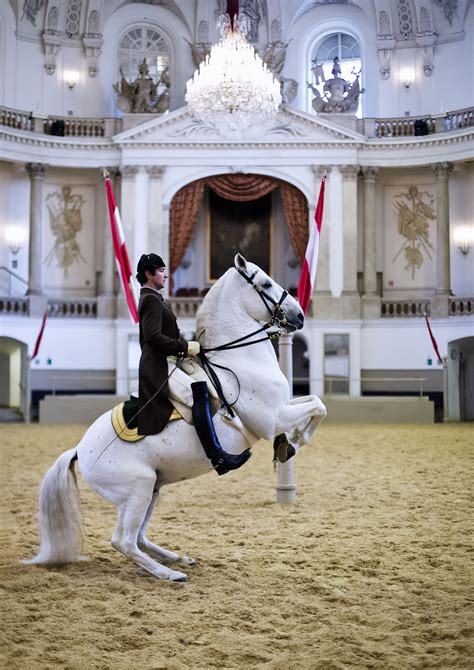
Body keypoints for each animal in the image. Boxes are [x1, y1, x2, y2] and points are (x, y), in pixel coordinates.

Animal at [23, 255, 326, 580]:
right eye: (267, 283)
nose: (299, 316)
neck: (239, 360)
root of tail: (80, 449)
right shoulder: (272, 419)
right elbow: (318, 407)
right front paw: (296, 440)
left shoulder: (282, 408)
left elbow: (315, 401)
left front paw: (288, 444)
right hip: (138, 489)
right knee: (124, 541)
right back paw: (169, 574)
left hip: (153, 489)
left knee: (140, 537)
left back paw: (177, 559)